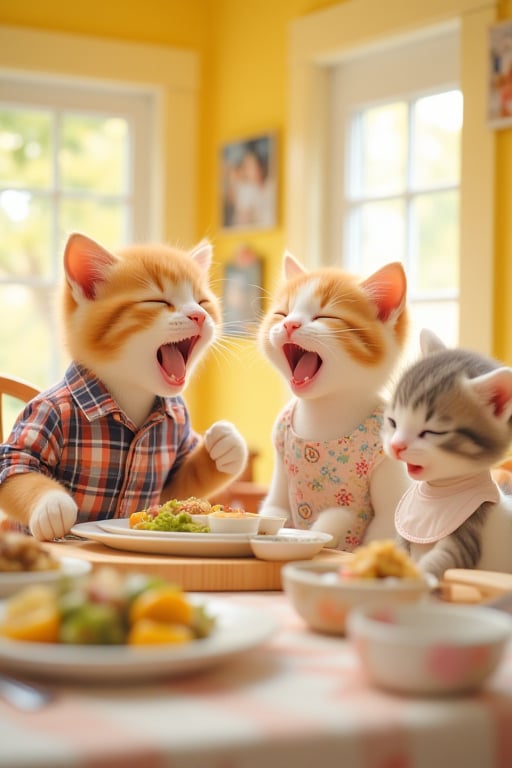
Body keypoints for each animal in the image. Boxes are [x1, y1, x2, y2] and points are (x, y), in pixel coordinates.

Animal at [0, 234, 248, 540]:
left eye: (202, 301)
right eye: (158, 300)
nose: (199, 315)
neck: (130, 396)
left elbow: (180, 486)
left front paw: (227, 445)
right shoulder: (45, 410)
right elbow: (18, 464)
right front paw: (52, 506)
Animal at [258, 255, 410, 548]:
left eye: (325, 316)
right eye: (282, 313)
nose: (290, 324)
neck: (324, 411)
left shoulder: (390, 500)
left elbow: (383, 529)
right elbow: (275, 509)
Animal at [382, 328, 512, 576]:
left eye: (432, 432)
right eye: (393, 422)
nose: (396, 446)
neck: (438, 491)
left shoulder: (471, 527)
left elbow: (443, 559)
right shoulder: (404, 531)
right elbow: (399, 549)